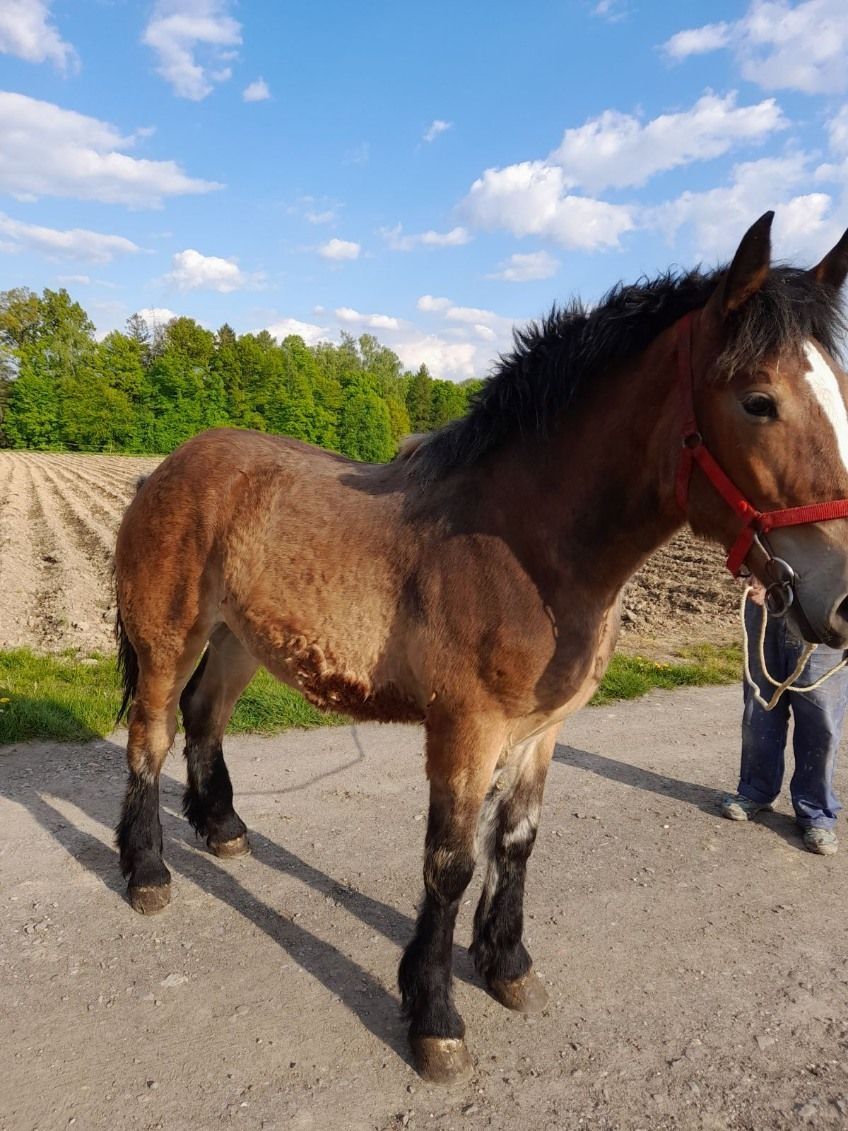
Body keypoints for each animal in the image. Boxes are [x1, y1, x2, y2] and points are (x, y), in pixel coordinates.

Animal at [114, 212, 848, 1085]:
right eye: (759, 400)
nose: (843, 595)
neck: (524, 546)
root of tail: (169, 466)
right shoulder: (465, 731)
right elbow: (451, 863)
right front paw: (434, 1015)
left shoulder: (543, 730)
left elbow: (518, 842)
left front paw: (508, 965)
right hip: (171, 637)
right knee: (151, 735)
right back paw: (147, 871)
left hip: (237, 639)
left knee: (205, 715)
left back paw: (222, 827)